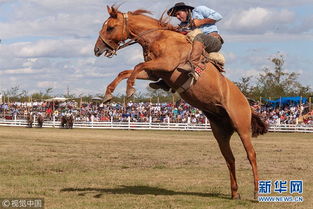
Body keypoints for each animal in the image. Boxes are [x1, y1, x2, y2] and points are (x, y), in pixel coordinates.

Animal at [94, 5, 266, 199]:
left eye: (110, 28)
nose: (97, 50)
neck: (159, 37)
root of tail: (247, 102)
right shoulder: (153, 71)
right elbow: (125, 71)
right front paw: (108, 94)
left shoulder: (166, 64)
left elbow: (136, 67)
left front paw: (130, 89)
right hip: (221, 132)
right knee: (230, 158)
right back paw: (235, 193)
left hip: (242, 128)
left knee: (251, 155)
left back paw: (256, 192)